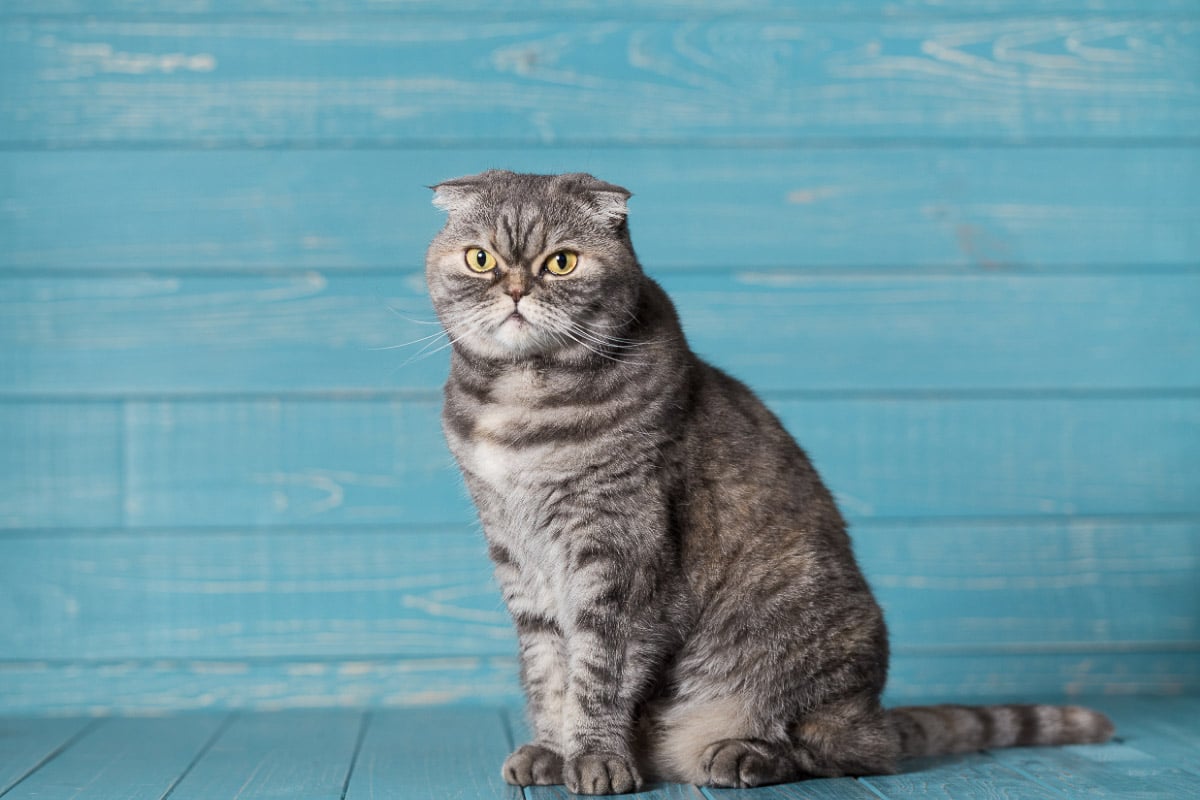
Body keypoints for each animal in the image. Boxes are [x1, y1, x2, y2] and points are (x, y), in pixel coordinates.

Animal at [424, 170, 1113, 796]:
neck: (522, 402)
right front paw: (550, 749)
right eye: (480, 259)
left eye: (561, 263)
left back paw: (743, 754)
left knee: (848, 750)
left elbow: (597, 671)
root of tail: (874, 710)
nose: (515, 289)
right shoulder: (519, 558)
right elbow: (549, 670)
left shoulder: (622, 555)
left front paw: (594, 760)